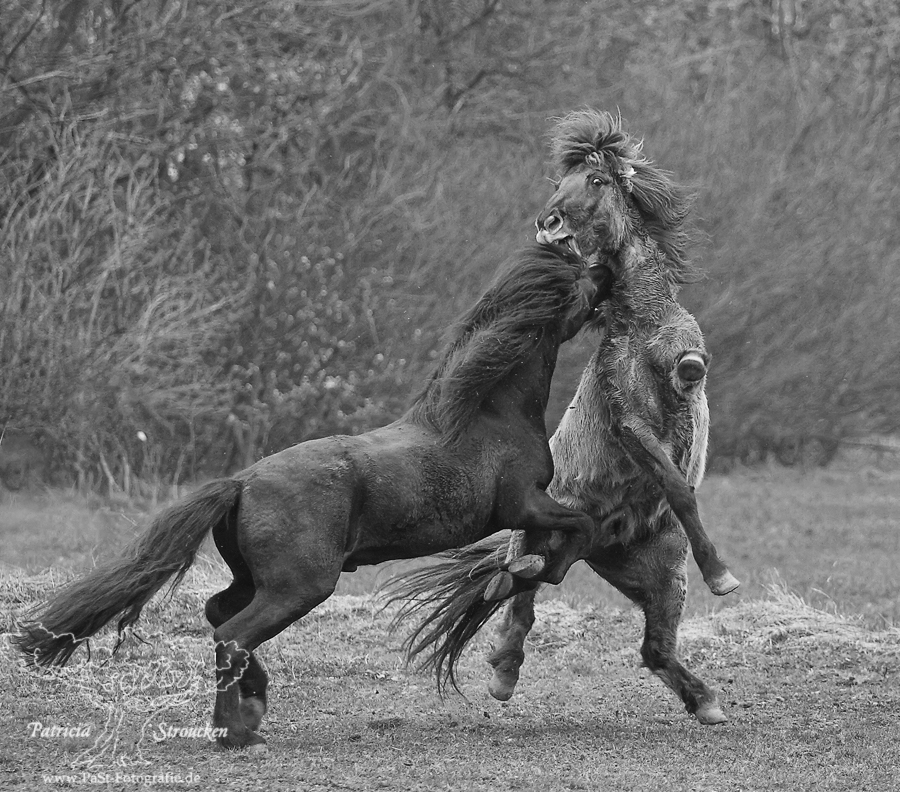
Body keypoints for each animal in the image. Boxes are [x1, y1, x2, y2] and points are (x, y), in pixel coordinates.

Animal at [15, 244, 612, 752]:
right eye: (580, 278)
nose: (607, 278)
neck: (488, 412)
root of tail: (243, 482)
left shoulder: (528, 510)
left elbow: (541, 545)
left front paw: (515, 575)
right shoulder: (525, 502)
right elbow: (578, 528)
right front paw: (536, 571)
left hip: (260, 580)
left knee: (218, 614)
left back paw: (255, 703)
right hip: (300, 586)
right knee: (231, 634)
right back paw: (237, 734)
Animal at [388, 110, 740, 724]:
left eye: (596, 181)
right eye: (559, 183)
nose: (547, 224)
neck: (642, 320)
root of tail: (607, 542)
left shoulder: (685, 362)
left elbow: (690, 374)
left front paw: (720, 576)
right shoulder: (629, 419)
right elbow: (675, 483)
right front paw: (722, 577)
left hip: (662, 576)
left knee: (645, 644)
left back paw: (707, 702)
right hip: (540, 532)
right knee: (522, 595)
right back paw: (503, 670)